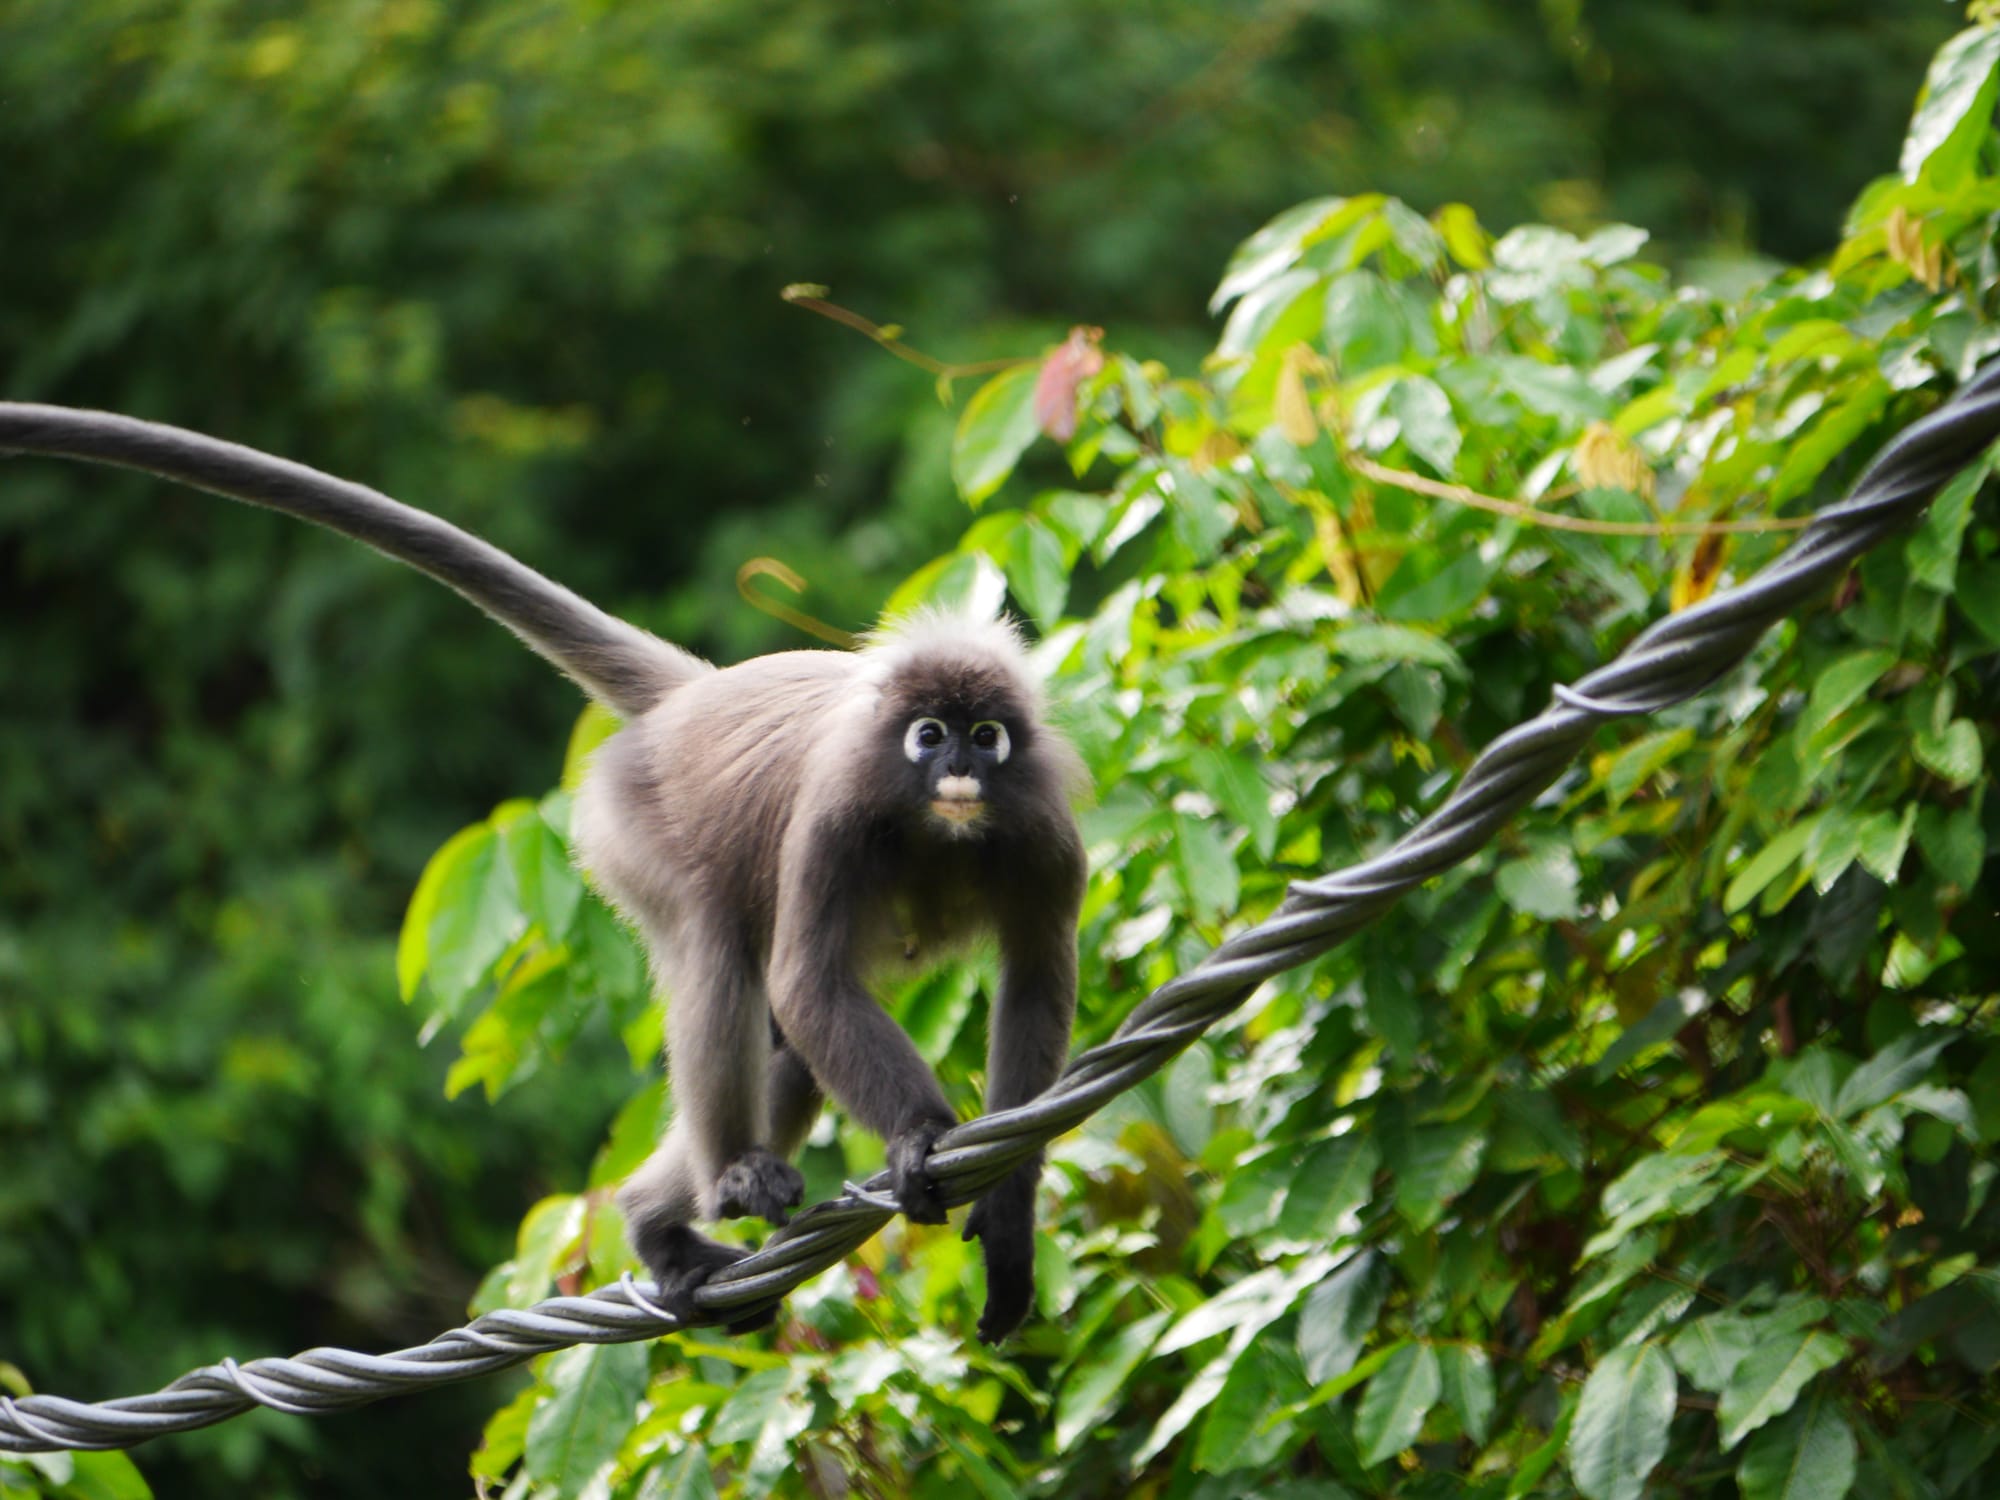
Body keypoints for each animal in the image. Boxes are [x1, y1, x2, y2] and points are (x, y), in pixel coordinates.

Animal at [0, 403, 1088, 1343]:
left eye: (985, 736)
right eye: (929, 734)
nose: (958, 769)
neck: (939, 831)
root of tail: (692, 699)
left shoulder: (1043, 835)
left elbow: (1033, 981)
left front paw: (1008, 1220)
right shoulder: (832, 817)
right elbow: (807, 982)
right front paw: (919, 1138)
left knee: (780, 1042)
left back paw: (662, 1224)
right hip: (629, 821)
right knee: (722, 964)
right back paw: (718, 1188)